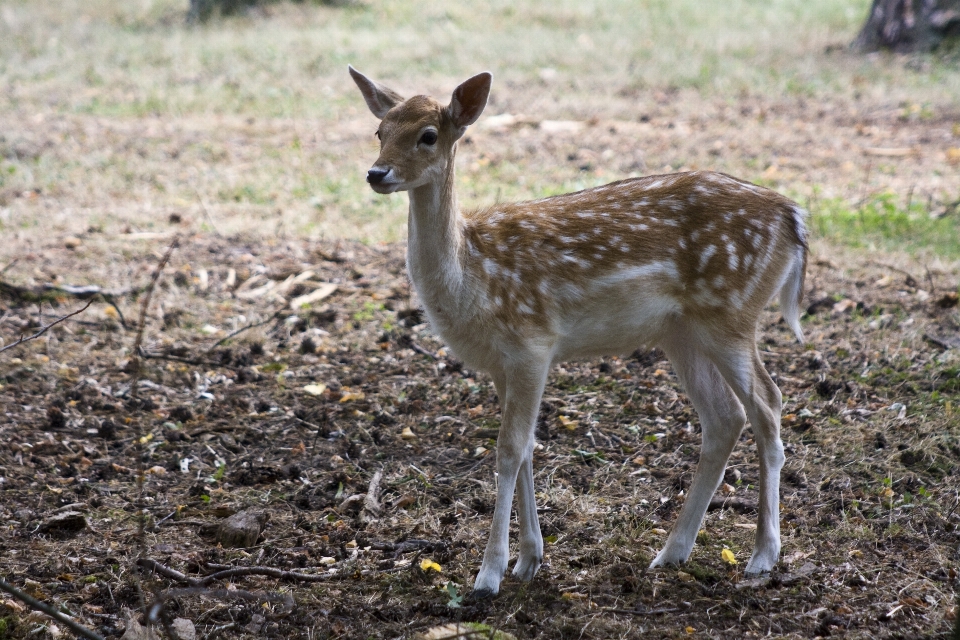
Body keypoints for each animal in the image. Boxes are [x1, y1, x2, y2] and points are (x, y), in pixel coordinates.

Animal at [348, 67, 808, 596]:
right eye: (379, 131)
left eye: (428, 135)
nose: (376, 173)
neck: (473, 277)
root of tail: (795, 217)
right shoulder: (502, 364)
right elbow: (527, 448)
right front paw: (529, 561)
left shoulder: (532, 343)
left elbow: (509, 450)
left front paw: (488, 574)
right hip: (681, 331)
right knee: (724, 417)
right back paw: (671, 552)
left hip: (731, 312)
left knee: (768, 404)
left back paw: (762, 556)